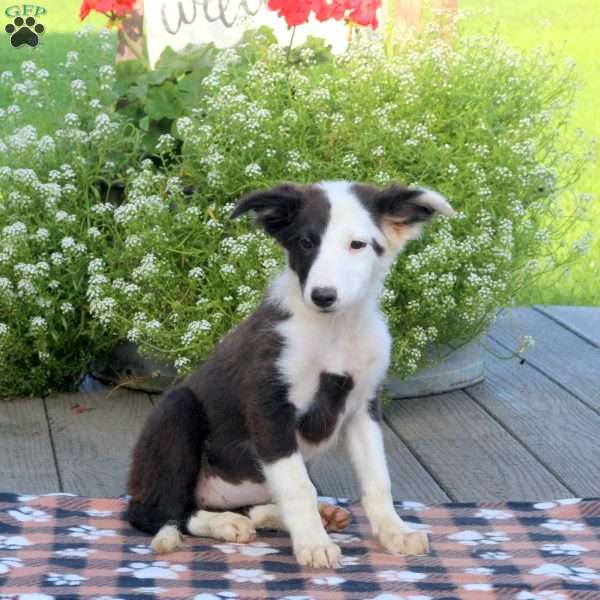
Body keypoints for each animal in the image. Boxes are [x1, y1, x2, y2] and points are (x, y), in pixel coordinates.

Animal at [127, 178, 454, 568]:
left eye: (357, 245)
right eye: (306, 243)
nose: (323, 296)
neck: (334, 331)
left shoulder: (364, 409)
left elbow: (377, 479)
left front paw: (395, 532)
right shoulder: (270, 408)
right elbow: (299, 486)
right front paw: (313, 543)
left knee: (252, 505)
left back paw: (300, 516)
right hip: (178, 413)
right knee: (157, 512)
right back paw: (224, 524)